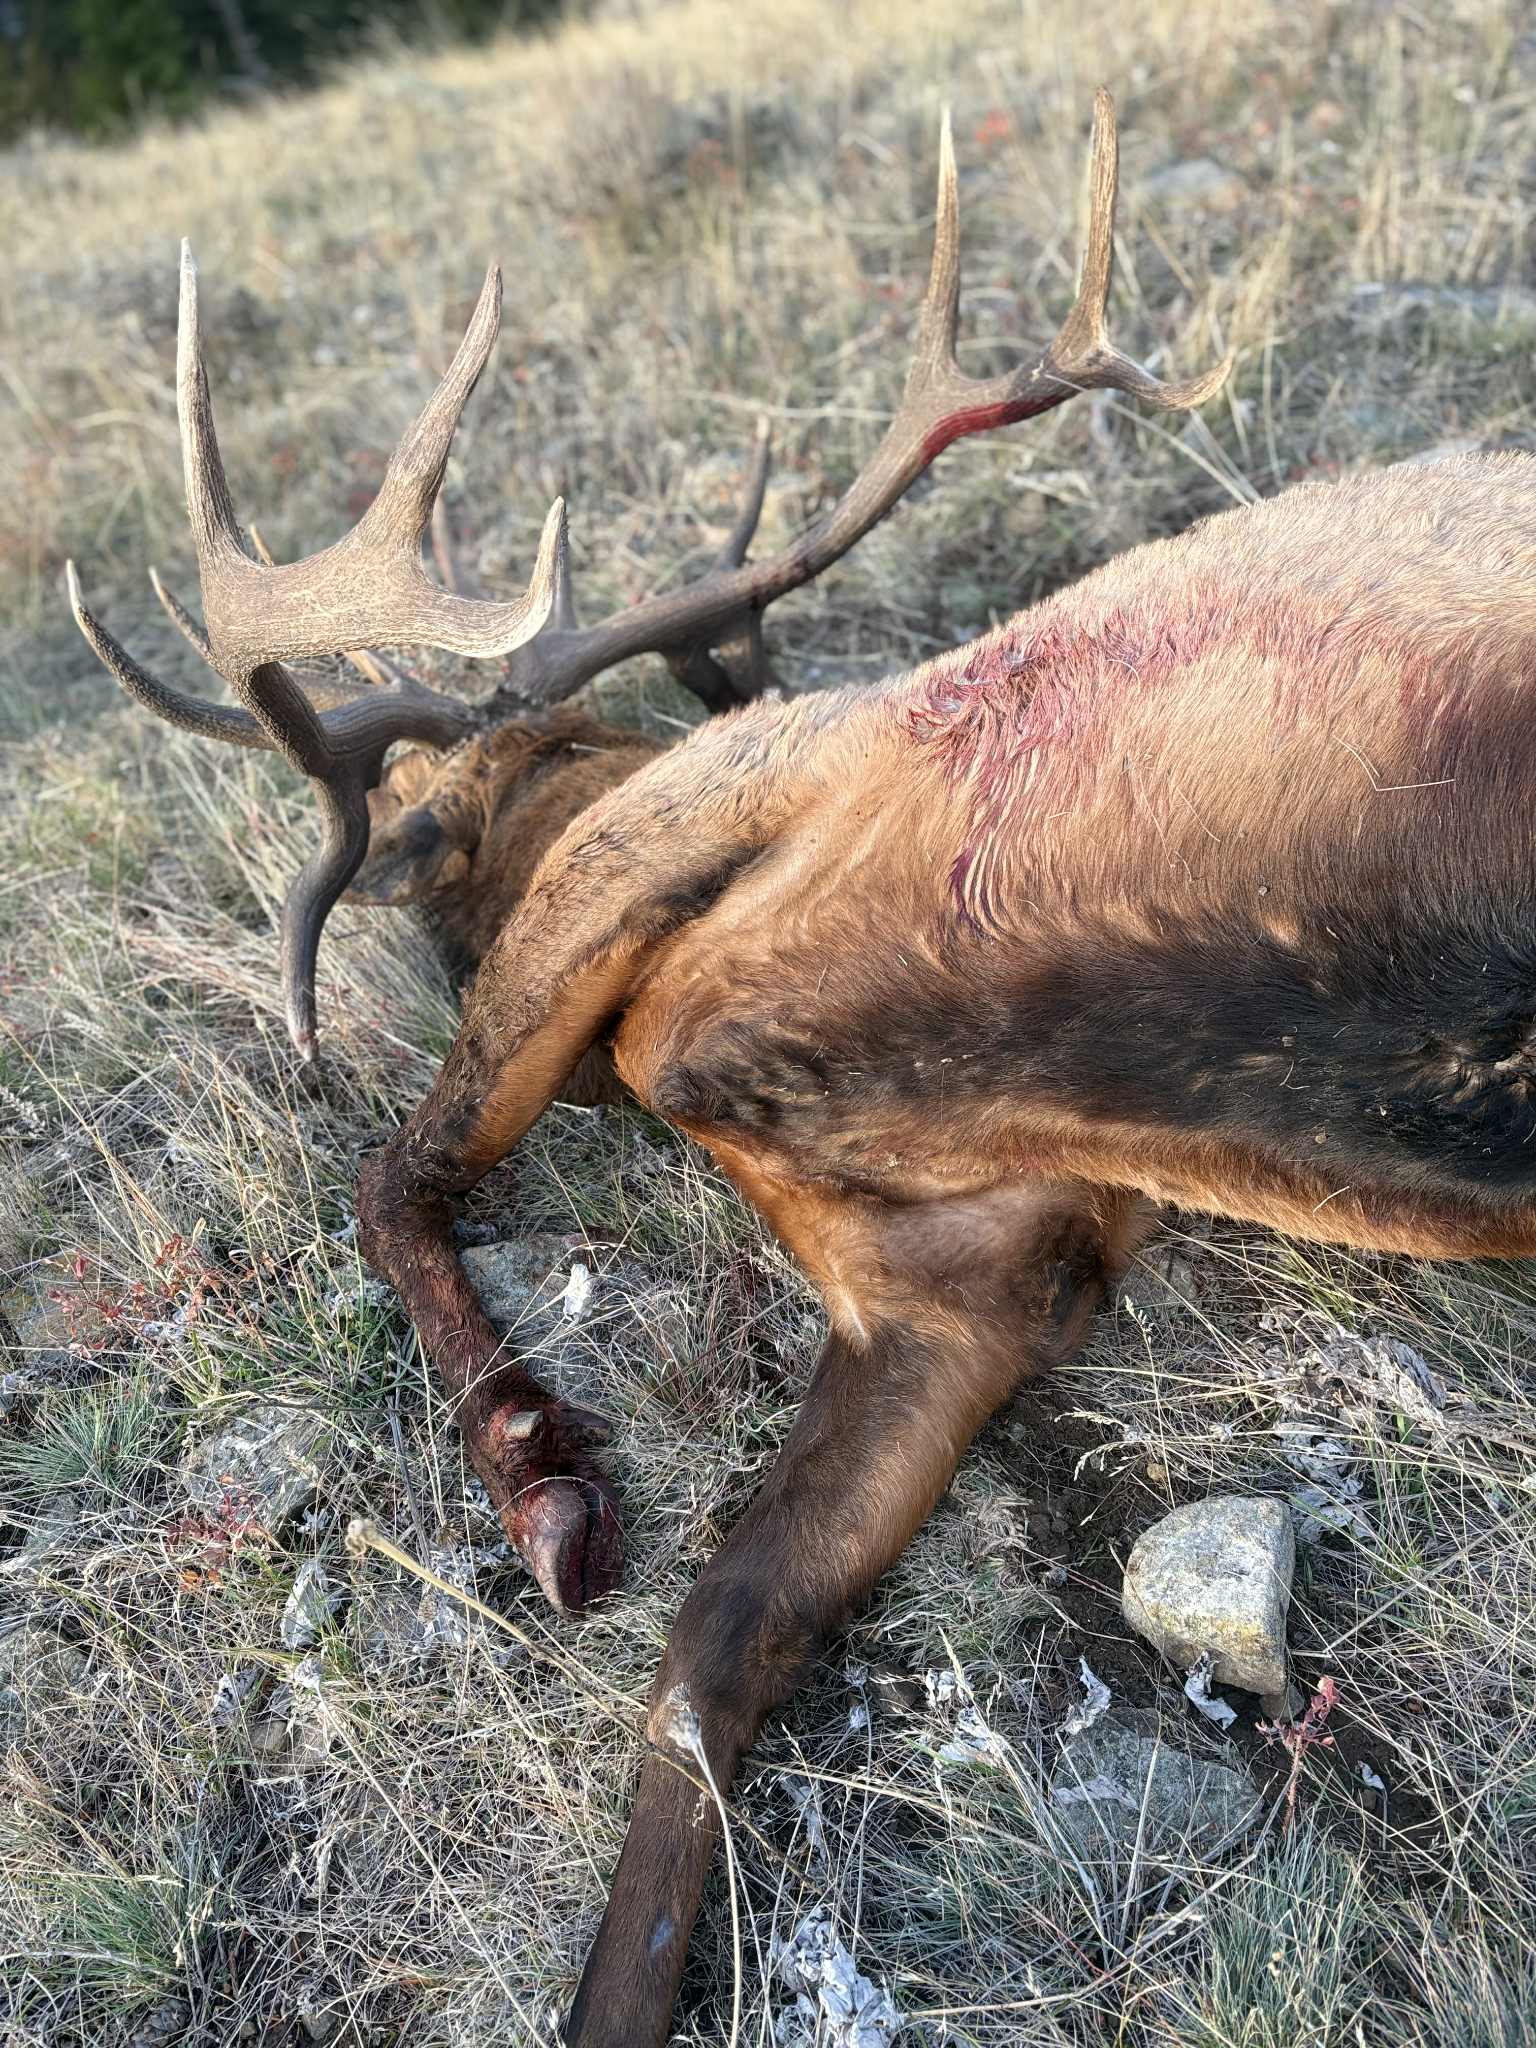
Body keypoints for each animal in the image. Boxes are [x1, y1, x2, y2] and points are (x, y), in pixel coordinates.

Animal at [64, 86, 1536, 2048]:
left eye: (467, 815)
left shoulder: (668, 834)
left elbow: (400, 1165)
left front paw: (538, 1472)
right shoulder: (966, 1280)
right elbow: (713, 1647)